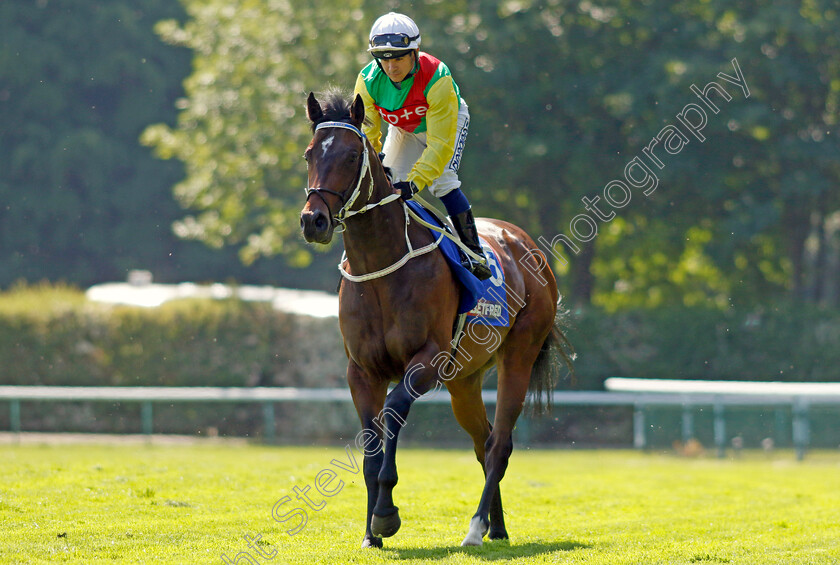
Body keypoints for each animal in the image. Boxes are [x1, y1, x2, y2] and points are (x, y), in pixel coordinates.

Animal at [296, 91, 572, 548]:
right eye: (308, 154)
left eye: (353, 155)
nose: (313, 220)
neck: (382, 265)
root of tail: (526, 245)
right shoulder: (361, 371)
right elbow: (371, 442)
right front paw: (370, 534)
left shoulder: (427, 360)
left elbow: (392, 412)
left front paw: (386, 515)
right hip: (465, 379)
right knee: (483, 441)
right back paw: (497, 527)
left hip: (518, 355)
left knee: (499, 444)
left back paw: (476, 527)